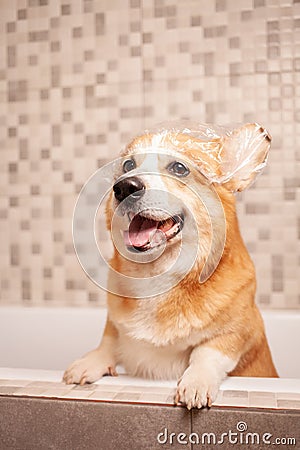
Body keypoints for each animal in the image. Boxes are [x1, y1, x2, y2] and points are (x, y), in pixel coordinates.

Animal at [63, 122, 278, 408]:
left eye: (179, 168)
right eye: (128, 165)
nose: (124, 187)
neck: (158, 274)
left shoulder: (239, 332)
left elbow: (206, 353)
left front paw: (196, 382)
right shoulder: (114, 326)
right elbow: (108, 342)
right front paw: (87, 363)